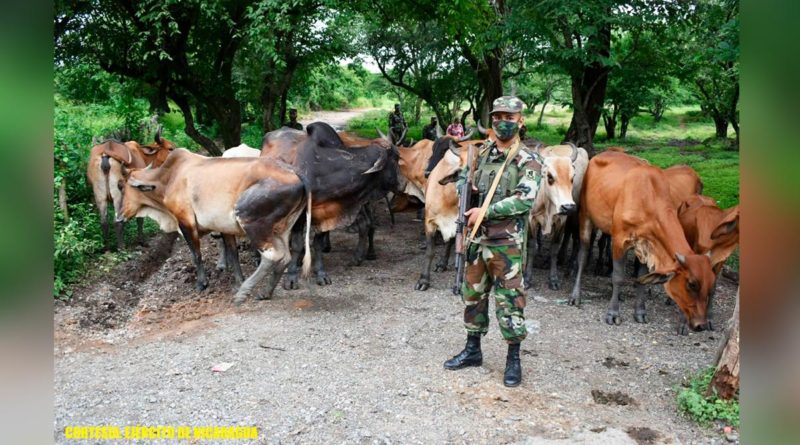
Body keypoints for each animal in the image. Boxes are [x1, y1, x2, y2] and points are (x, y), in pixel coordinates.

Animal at [564, 151, 716, 332]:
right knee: (583, 255)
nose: (701, 324)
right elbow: (618, 276)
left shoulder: (645, 246)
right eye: (691, 284)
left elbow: (642, 278)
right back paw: (575, 295)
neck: (648, 198)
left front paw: (640, 312)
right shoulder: (619, 239)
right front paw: (613, 313)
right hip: (586, 217)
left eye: (711, 284)